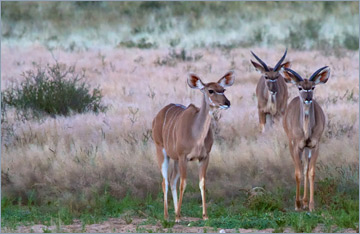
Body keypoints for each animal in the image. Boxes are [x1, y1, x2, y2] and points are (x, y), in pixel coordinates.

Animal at [151, 71, 233, 221]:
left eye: (223, 90)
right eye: (210, 90)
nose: (227, 103)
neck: (197, 137)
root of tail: (157, 117)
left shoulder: (204, 157)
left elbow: (202, 183)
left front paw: (205, 215)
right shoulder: (184, 156)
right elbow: (183, 184)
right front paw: (177, 216)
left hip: (175, 159)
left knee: (172, 180)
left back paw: (176, 212)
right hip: (161, 150)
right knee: (165, 182)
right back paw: (167, 215)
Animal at [280, 66, 330, 212]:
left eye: (313, 87)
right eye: (300, 87)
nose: (308, 98)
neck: (307, 131)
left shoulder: (314, 145)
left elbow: (311, 172)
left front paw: (311, 205)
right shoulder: (297, 146)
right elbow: (298, 173)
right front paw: (297, 205)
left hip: (307, 149)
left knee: (306, 168)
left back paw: (305, 201)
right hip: (291, 144)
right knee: (299, 168)